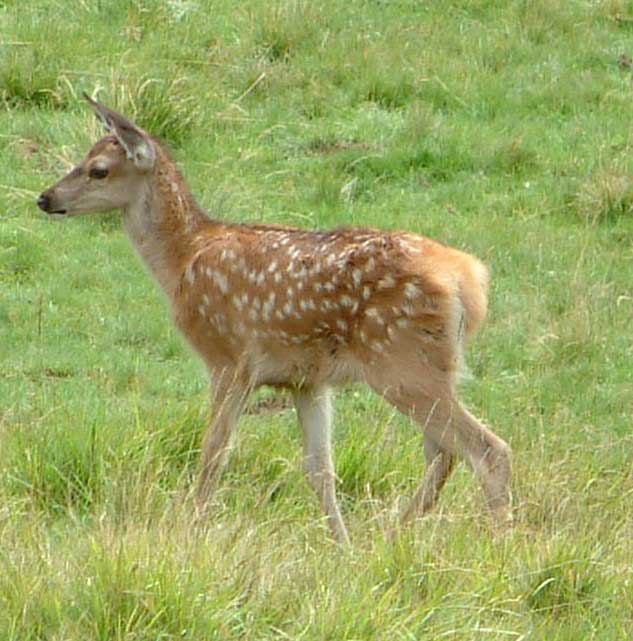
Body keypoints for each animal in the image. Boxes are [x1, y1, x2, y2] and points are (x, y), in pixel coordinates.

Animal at [34, 96, 512, 544]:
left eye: (98, 170)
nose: (45, 198)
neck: (181, 260)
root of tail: (467, 278)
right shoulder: (307, 381)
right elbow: (319, 470)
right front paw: (342, 545)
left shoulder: (227, 358)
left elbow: (214, 452)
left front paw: (191, 528)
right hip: (431, 365)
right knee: (444, 452)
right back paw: (396, 534)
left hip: (400, 360)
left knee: (487, 449)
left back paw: (497, 541)